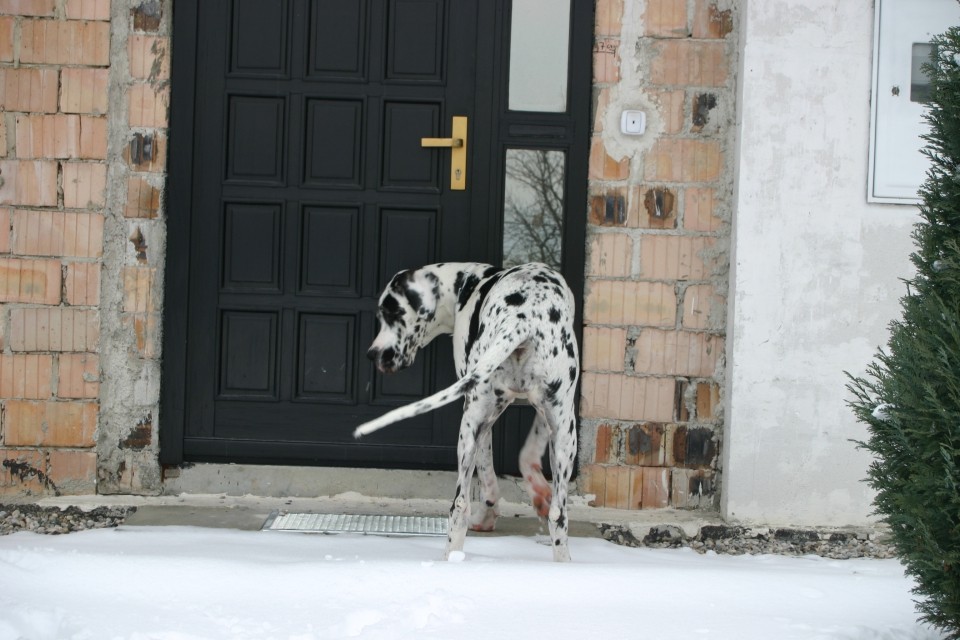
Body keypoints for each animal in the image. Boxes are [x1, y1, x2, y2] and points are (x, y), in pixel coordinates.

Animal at [352, 262, 576, 564]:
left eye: (393, 313)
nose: (373, 354)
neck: (463, 285)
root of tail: (521, 320)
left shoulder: (485, 419)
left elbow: (488, 474)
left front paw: (489, 515)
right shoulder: (549, 415)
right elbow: (526, 454)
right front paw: (540, 492)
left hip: (471, 426)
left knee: (459, 505)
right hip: (565, 434)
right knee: (558, 515)